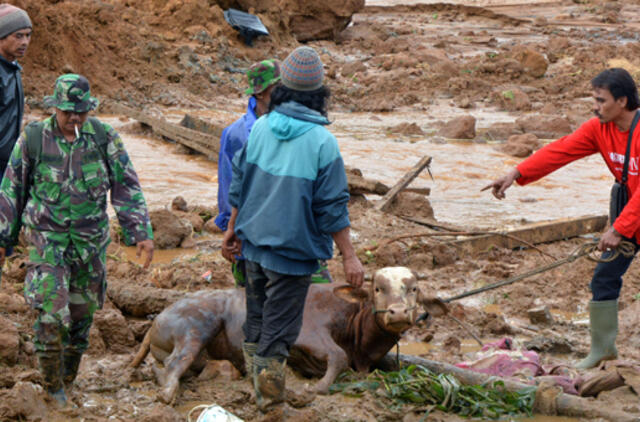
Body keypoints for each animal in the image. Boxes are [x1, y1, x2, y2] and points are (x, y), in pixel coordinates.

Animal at [129, 266, 450, 404]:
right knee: (174, 364)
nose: (398, 312)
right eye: (378, 288)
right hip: (194, 329)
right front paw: (316, 387)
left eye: (414, 289)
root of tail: (160, 316)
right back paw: (167, 391)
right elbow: (338, 356)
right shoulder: (308, 333)